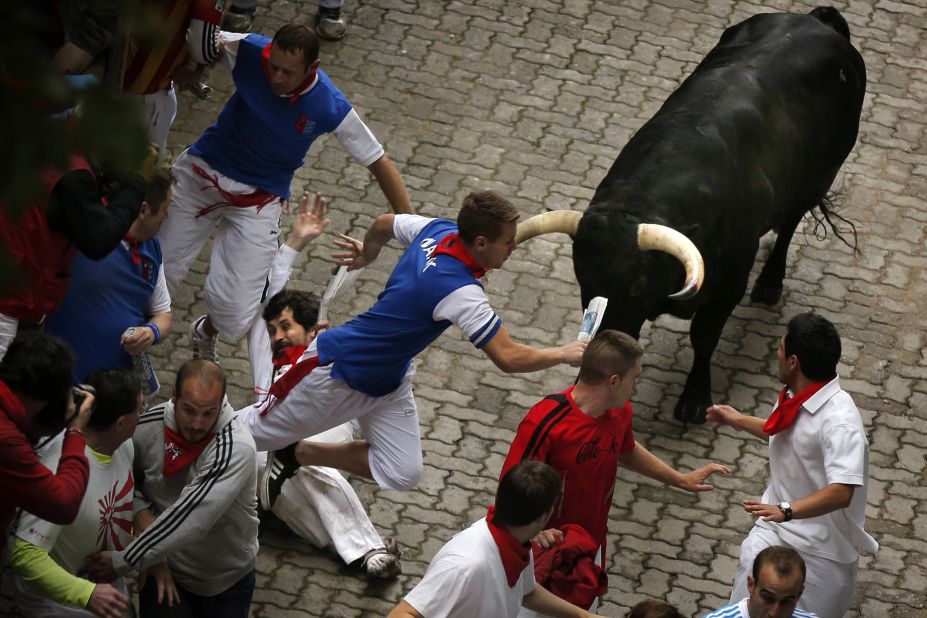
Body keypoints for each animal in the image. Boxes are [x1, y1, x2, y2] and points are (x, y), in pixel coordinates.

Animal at [520, 8, 864, 424]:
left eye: (636, 286)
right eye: (583, 279)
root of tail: (816, 20)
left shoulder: (732, 278)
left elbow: (704, 336)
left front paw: (695, 398)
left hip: (820, 174)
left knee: (790, 223)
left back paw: (769, 283)